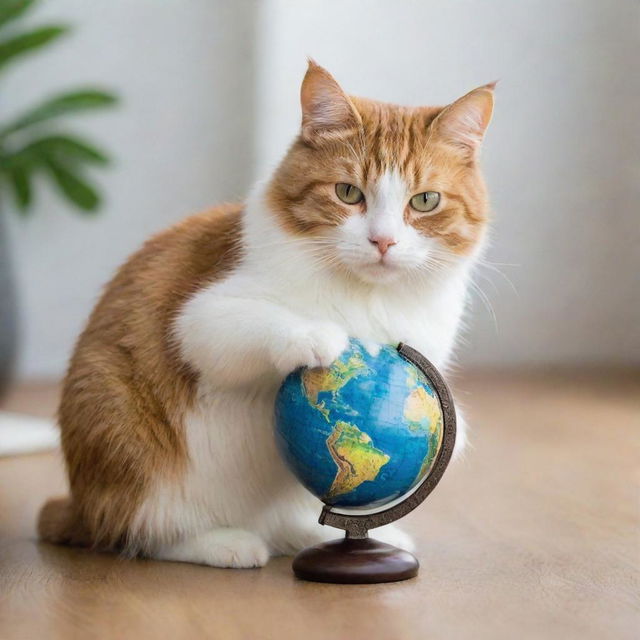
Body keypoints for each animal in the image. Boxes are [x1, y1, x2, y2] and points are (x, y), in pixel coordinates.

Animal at [37, 62, 496, 568]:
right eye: (348, 192)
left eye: (425, 201)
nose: (383, 241)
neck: (367, 297)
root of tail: (77, 506)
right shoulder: (203, 315)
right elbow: (259, 324)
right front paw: (322, 338)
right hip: (123, 439)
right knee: (139, 531)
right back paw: (226, 543)